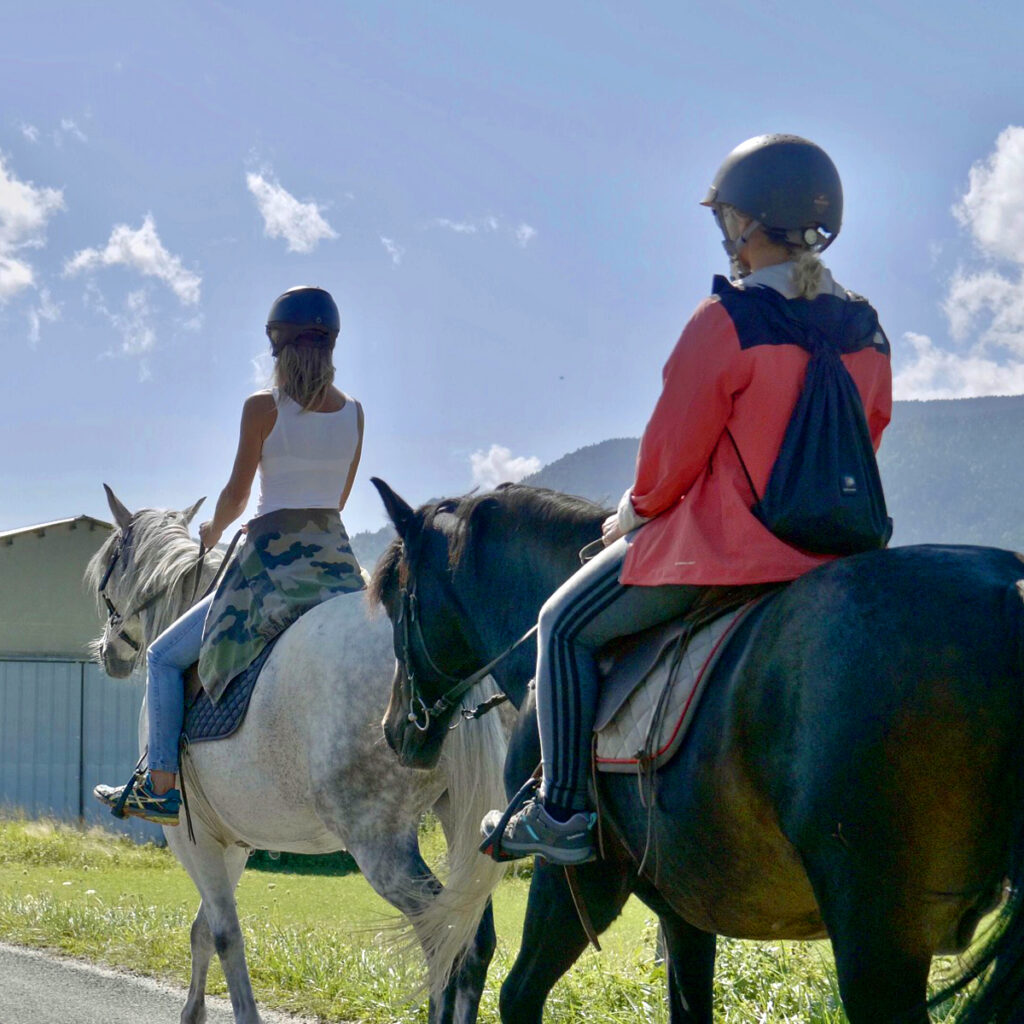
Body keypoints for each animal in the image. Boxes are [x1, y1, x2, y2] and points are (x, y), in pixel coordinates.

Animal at [84, 489, 507, 1024]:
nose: (107, 653)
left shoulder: (190, 835)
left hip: (380, 842)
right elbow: (203, 931)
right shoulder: (233, 840)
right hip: (459, 816)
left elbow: (224, 934)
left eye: (108, 570)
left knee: (441, 933)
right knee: (473, 939)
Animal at [370, 479, 1024, 1024]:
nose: (394, 728)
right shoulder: (686, 909)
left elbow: (519, 995)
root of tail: (1005, 590)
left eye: (397, 601)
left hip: (874, 931)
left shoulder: (576, 879)